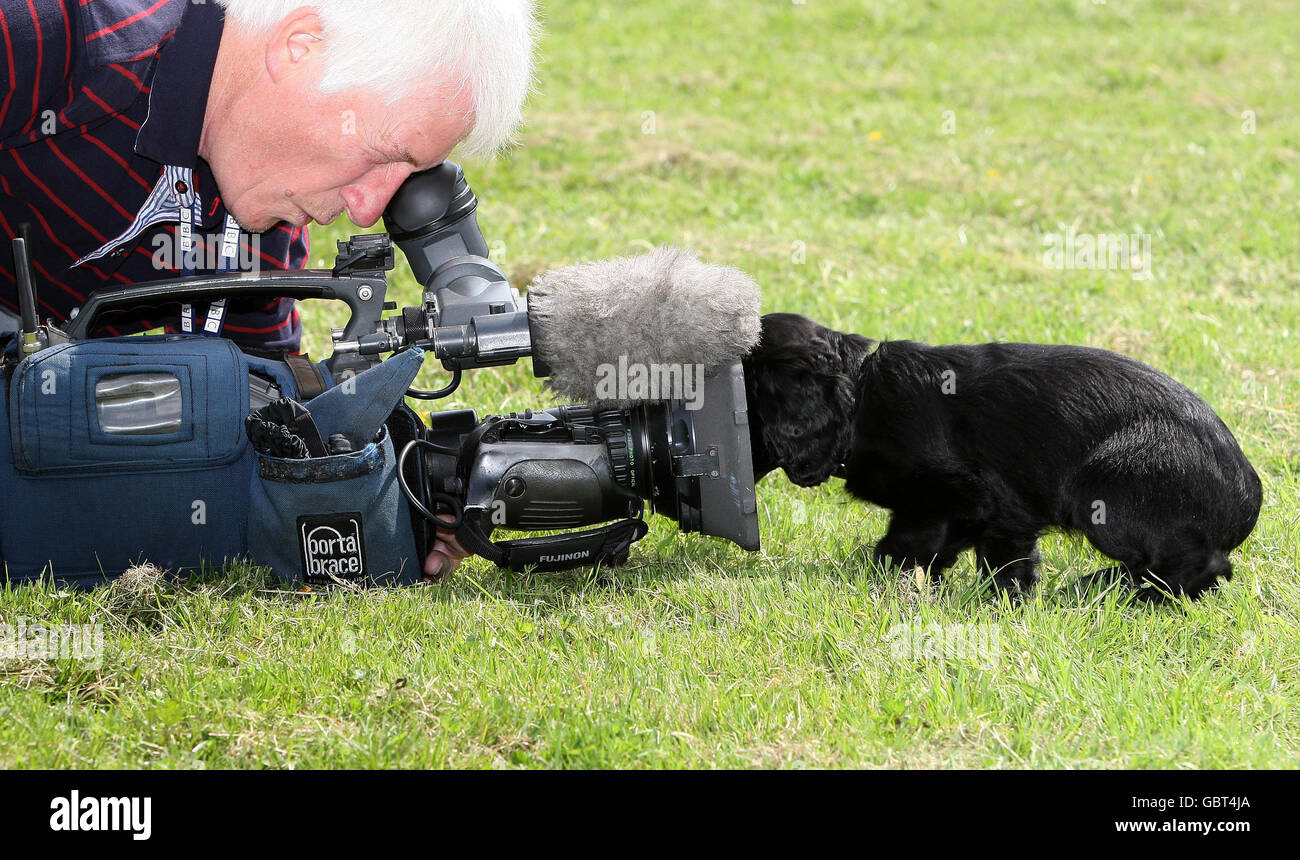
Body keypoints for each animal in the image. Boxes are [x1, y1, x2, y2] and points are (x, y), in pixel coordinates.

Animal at [748, 313, 1263, 602]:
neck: (862, 395)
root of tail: (1248, 497)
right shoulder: (946, 510)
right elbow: (917, 547)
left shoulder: (981, 496)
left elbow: (988, 554)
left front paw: (1000, 601)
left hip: (1110, 482)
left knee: (1202, 567)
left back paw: (1101, 590)